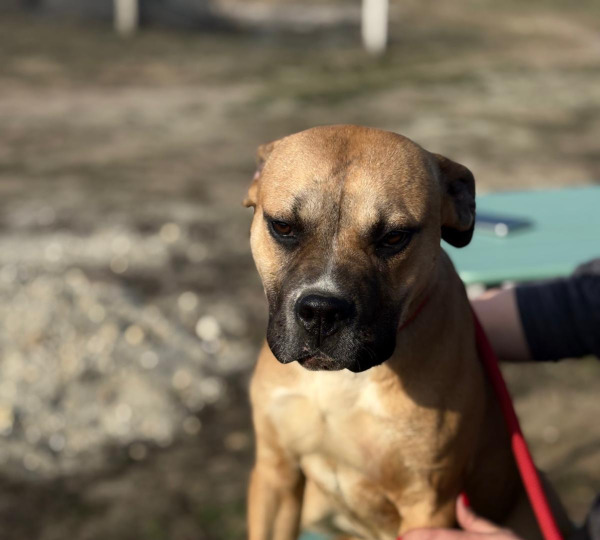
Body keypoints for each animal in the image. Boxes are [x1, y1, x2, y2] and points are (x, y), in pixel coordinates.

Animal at [244, 125, 568, 540]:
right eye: (283, 226)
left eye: (394, 237)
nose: (321, 311)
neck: (340, 386)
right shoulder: (276, 473)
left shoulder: (428, 504)